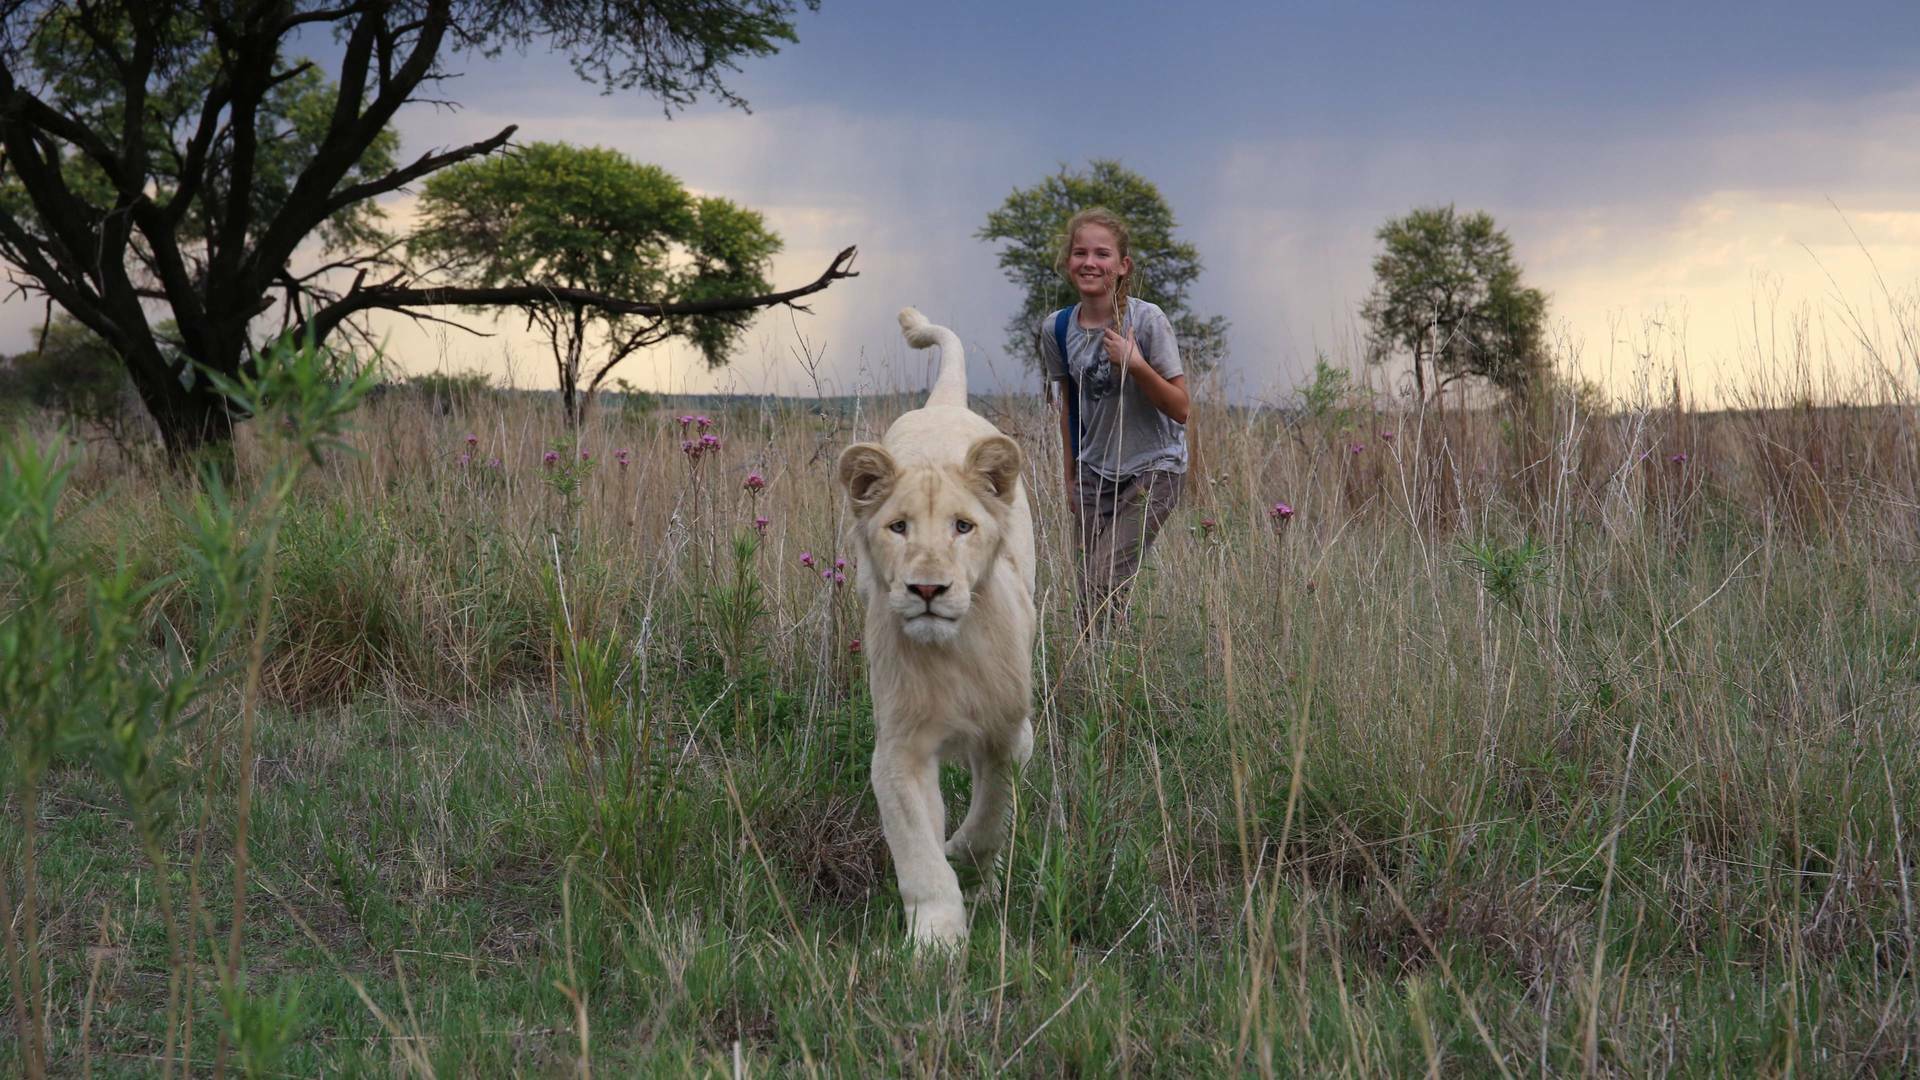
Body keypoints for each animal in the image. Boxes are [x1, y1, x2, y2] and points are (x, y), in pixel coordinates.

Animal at [837, 303, 1036, 941]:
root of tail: (942, 404)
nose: (927, 589)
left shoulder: (1009, 735)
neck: (951, 651)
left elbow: (991, 816)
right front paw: (936, 940)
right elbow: (917, 852)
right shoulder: (899, 749)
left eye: (962, 527)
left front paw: (968, 867)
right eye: (898, 527)